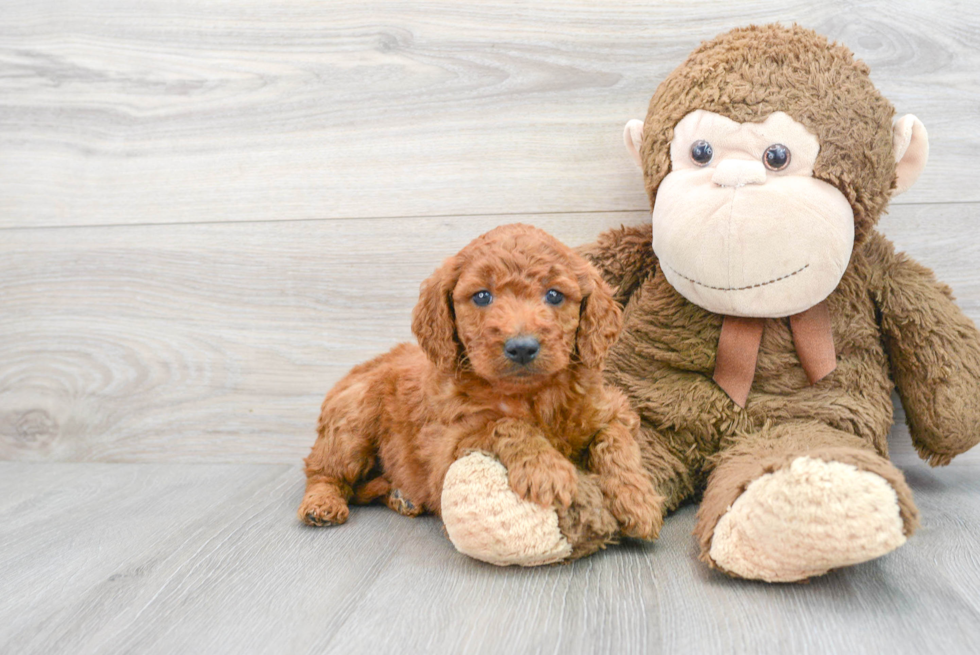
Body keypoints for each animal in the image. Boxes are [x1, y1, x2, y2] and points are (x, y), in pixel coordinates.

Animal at [298, 223, 664, 540]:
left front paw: (639, 499)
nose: (522, 347)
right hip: (351, 423)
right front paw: (545, 468)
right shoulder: (446, 450)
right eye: (482, 296)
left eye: (555, 295)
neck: (531, 395)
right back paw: (322, 504)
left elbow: (615, 440)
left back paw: (401, 497)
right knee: (324, 471)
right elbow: (503, 423)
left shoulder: (611, 408)